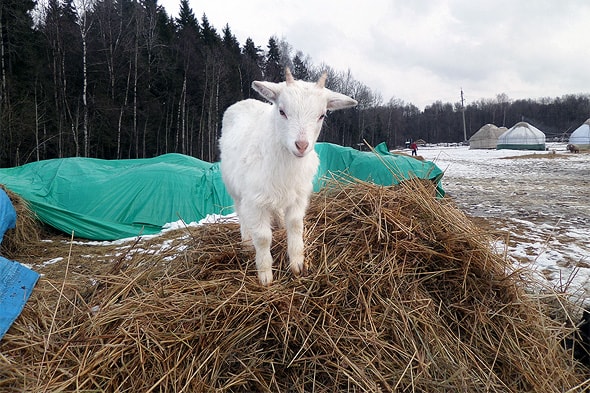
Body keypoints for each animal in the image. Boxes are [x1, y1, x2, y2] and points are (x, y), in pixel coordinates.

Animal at [220, 68, 358, 284]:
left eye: (321, 115)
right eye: (282, 111)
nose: (301, 145)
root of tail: (244, 102)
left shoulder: (297, 196)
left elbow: (295, 226)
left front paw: (297, 264)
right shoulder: (255, 200)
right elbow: (263, 237)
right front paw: (265, 275)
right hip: (234, 189)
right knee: (241, 213)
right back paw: (247, 243)